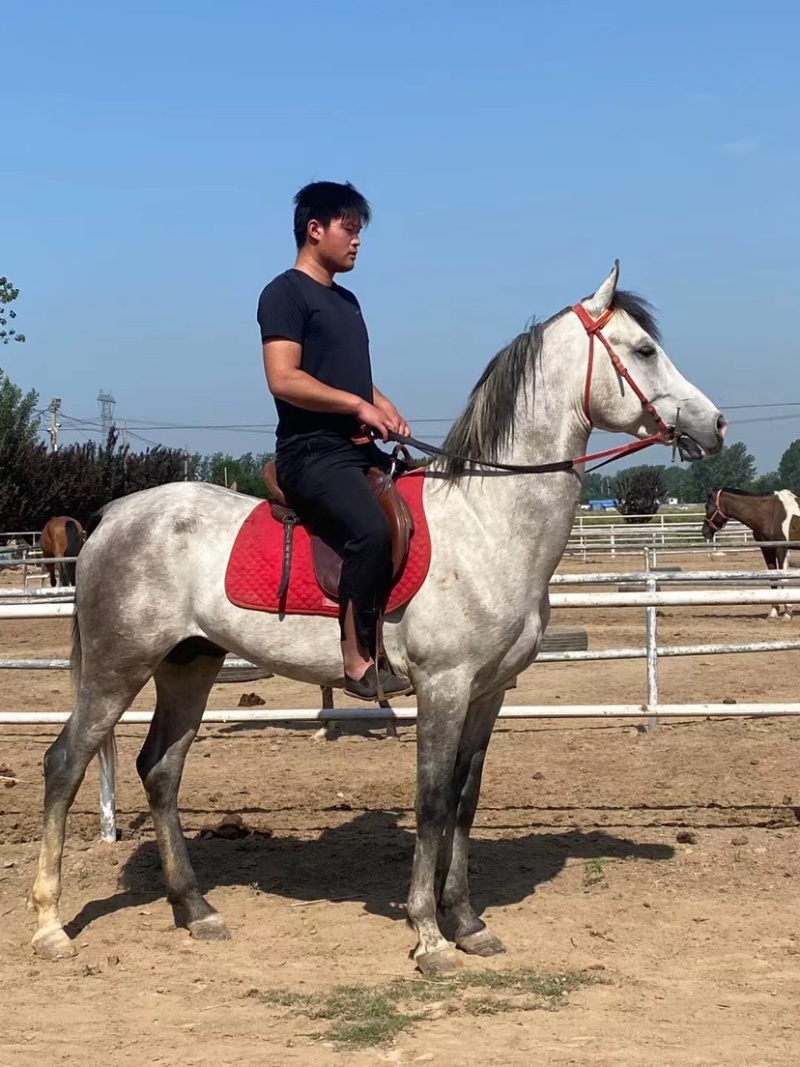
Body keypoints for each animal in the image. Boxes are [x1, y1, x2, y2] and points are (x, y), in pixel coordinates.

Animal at [29, 261, 726, 973]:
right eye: (644, 350)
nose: (716, 424)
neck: (487, 521)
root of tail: (114, 516)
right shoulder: (443, 686)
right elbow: (432, 801)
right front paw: (429, 935)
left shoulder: (490, 692)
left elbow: (466, 800)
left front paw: (467, 921)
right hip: (118, 669)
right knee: (65, 764)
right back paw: (51, 926)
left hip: (188, 664)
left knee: (161, 770)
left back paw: (195, 909)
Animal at [703, 487, 800, 619]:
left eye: (707, 506)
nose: (704, 531)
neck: (770, 514)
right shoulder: (767, 549)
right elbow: (773, 579)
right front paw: (773, 612)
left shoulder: (781, 549)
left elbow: (783, 579)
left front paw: (788, 613)